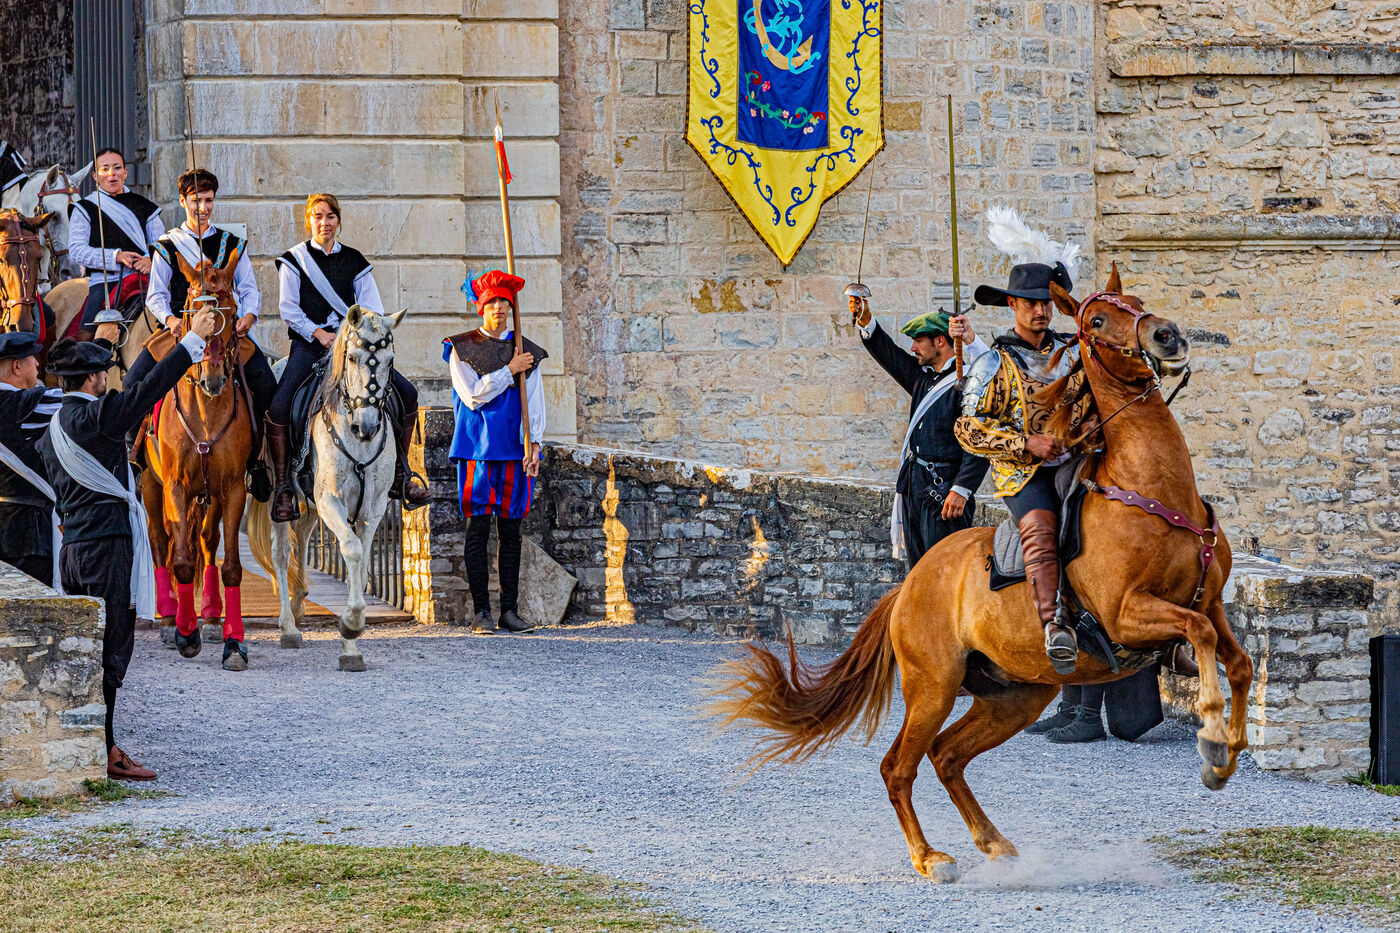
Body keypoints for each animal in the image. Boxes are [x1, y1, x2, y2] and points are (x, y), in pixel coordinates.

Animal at [138, 249, 255, 671]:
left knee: (206, 540)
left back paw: (209, 616)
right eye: (192, 311)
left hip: (210, 495)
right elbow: (182, 560)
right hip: (150, 484)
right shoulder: (174, 486)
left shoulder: (232, 489)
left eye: (232, 314)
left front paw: (233, 643)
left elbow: (229, 565)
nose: (214, 378)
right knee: (161, 541)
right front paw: (185, 634)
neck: (206, 410)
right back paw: (170, 616)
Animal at [247, 304, 406, 673]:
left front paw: (351, 645)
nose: (367, 427)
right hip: (283, 501)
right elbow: (352, 551)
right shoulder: (331, 502)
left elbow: (361, 566)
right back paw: (288, 627)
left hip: (307, 507)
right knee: (281, 553)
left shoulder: (373, 508)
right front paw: (350, 625)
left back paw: (299, 603)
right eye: (352, 357)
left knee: (302, 543)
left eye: (390, 360)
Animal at [706, 265, 1255, 882]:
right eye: (1094, 320)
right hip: (933, 687)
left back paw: (993, 843)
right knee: (899, 765)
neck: (1151, 490)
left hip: (1015, 697)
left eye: (1135, 301)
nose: (1166, 336)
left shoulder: (1209, 602)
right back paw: (930, 858)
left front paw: (1226, 754)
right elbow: (1201, 637)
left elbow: (1237, 660)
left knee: (947, 755)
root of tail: (909, 586)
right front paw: (1211, 738)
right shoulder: (1127, 614)